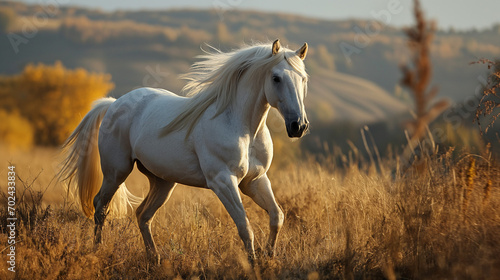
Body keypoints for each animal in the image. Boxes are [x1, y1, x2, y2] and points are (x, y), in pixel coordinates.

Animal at [59, 38, 308, 264]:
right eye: (276, 78)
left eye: (304, 79)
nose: (299, 126)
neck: (243, 127)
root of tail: (113, 104)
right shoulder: (223, 182)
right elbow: (245, 226)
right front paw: (253, 263)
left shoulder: (254, 180)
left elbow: (277, 216)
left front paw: (269, 257)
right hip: (116, 172)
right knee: (100, 206)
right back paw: (97, 251)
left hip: (162, 181)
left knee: (142, 215)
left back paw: (155, 258)